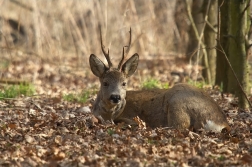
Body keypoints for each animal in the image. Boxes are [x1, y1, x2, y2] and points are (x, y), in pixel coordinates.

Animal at [89, 27, 230, 132]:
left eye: (124, 83)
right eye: (105, 83)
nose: (115, 97)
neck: (108, 114)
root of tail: (221, 122)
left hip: (177, 101)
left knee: (179, 126)